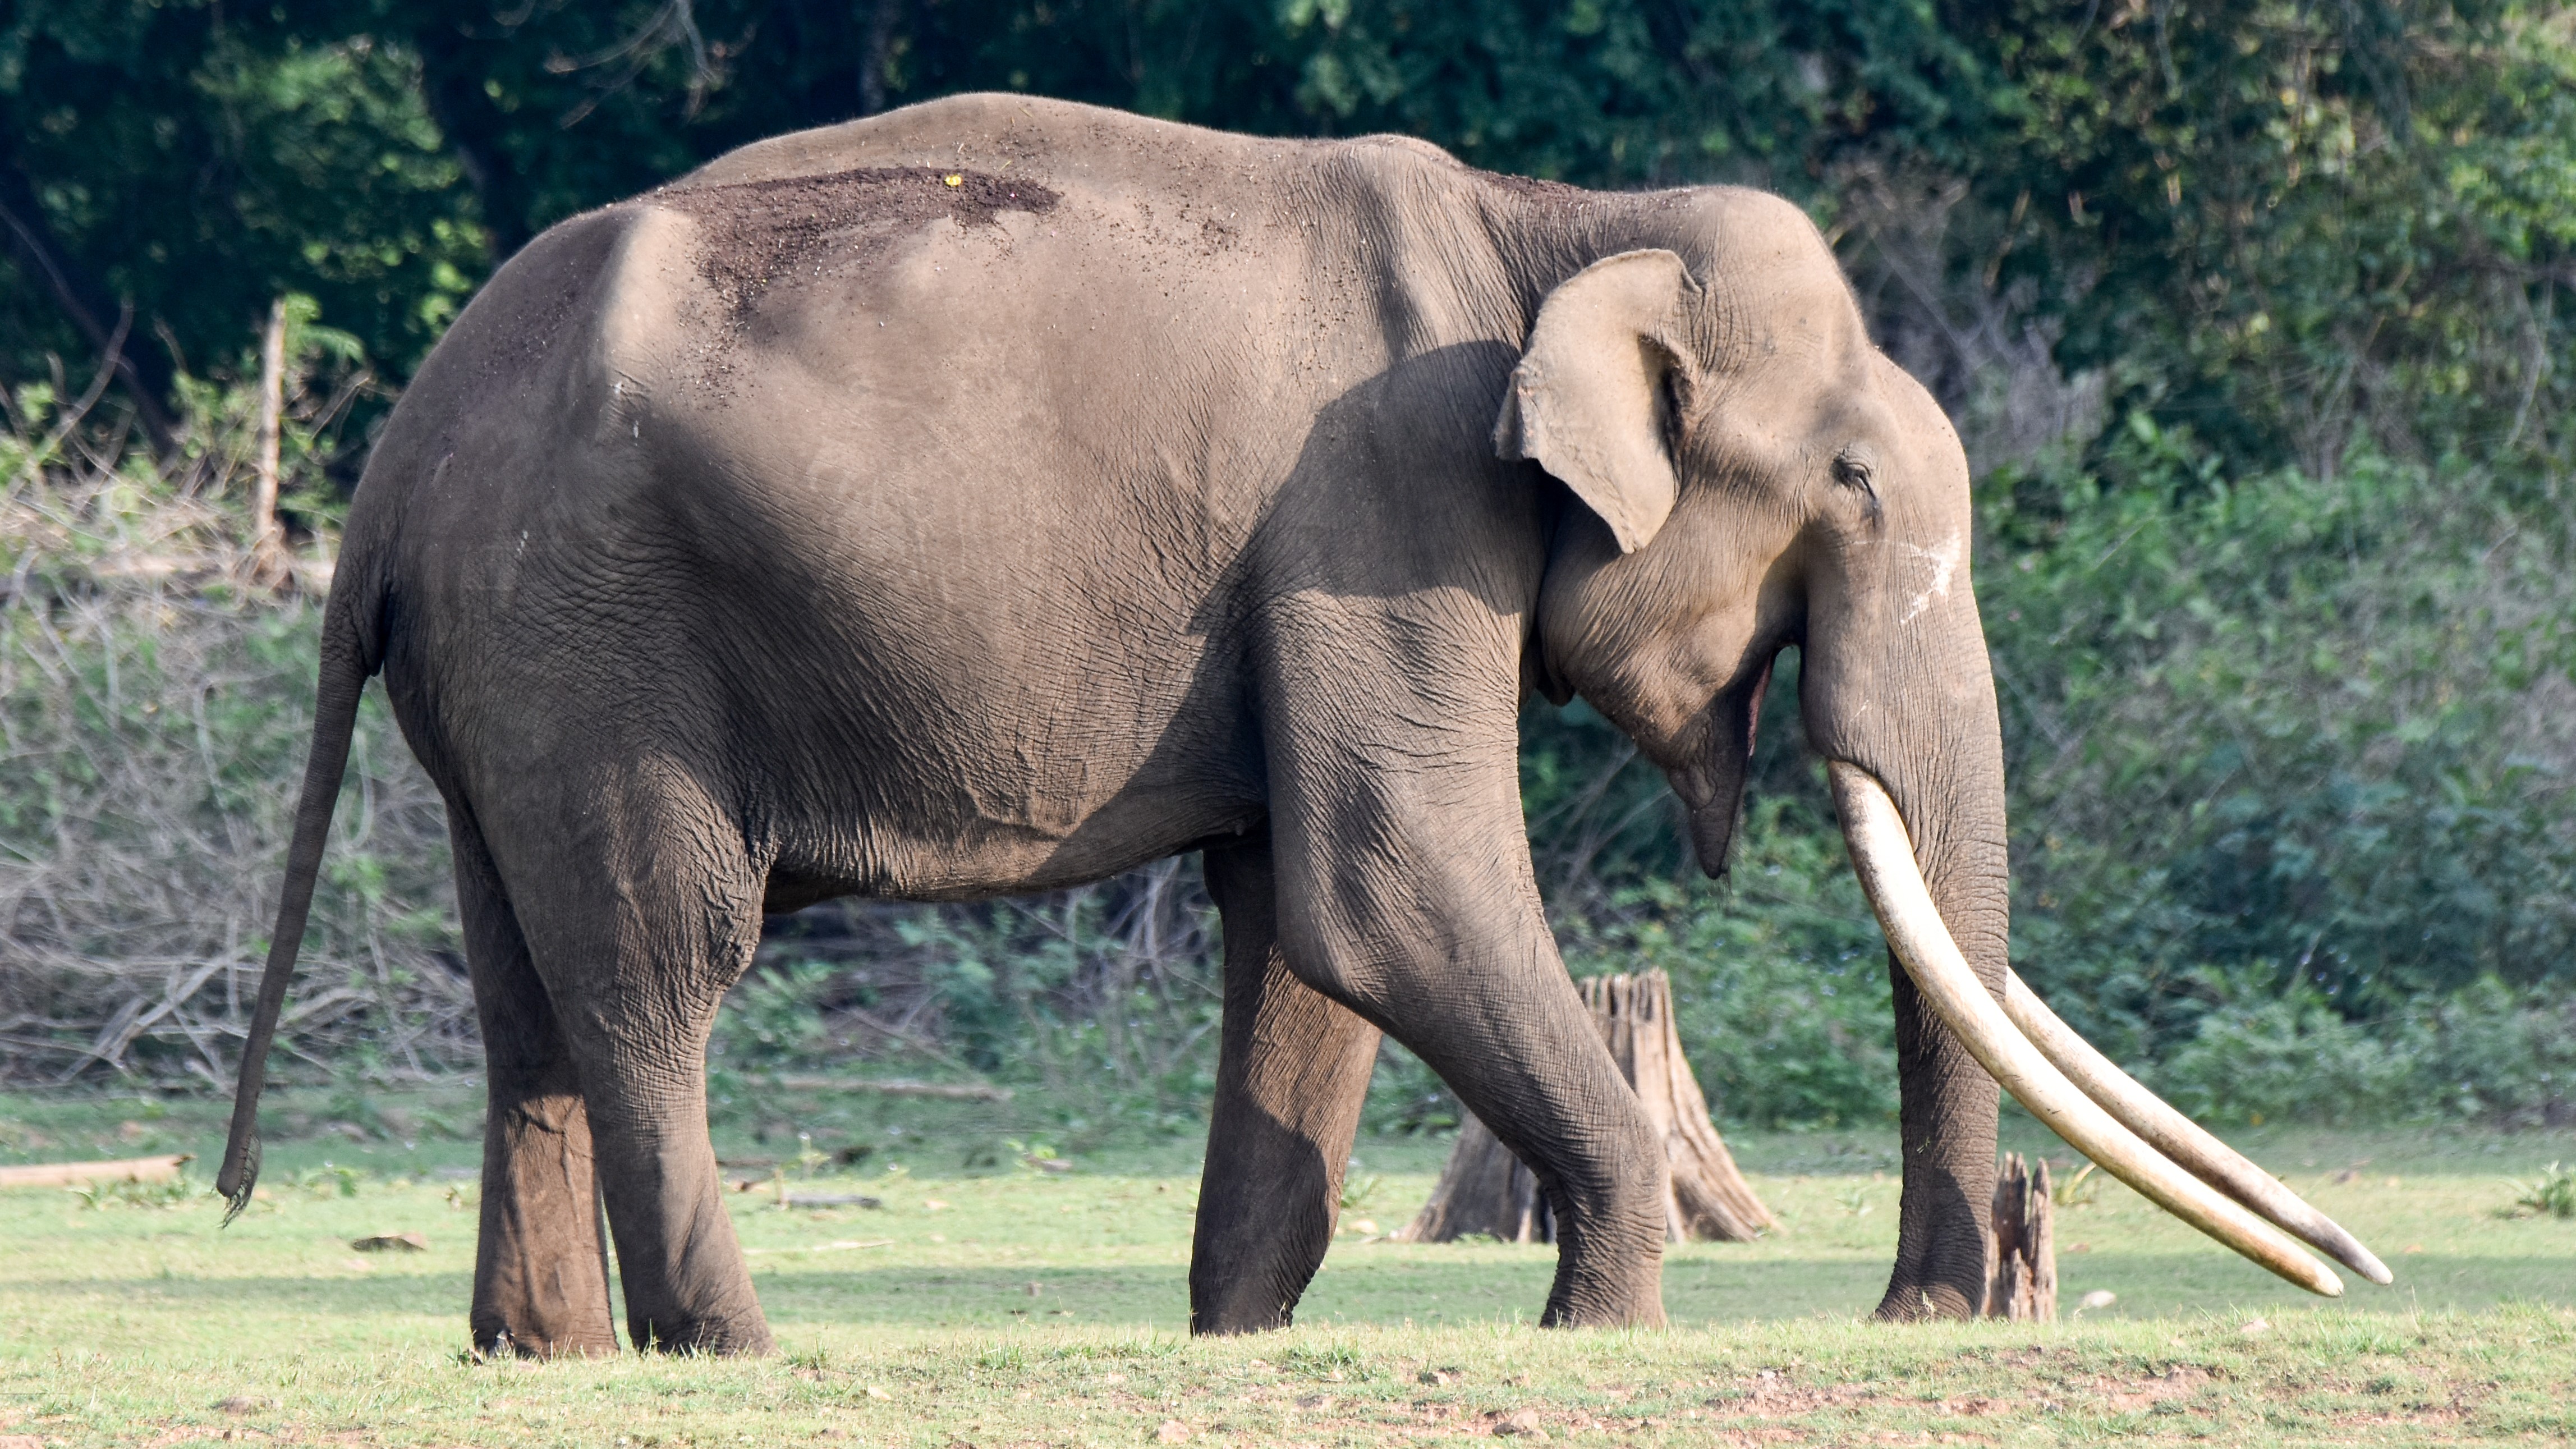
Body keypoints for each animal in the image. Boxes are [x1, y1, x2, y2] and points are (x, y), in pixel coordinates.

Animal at [215, 93, 2382, 1356]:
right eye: (1847, 492)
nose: (1925, 1307)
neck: (1550, 219)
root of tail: (389, 468)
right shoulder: (1383, 498)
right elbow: (1392, 879)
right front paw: (1603, 1323)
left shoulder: (1319, 561)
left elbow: (1300, 920)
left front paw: (1237, 1336)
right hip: (599, 635)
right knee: (657, 959)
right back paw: (728, 1347)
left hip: (509, 668)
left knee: (526, 986)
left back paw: (541, 1353)